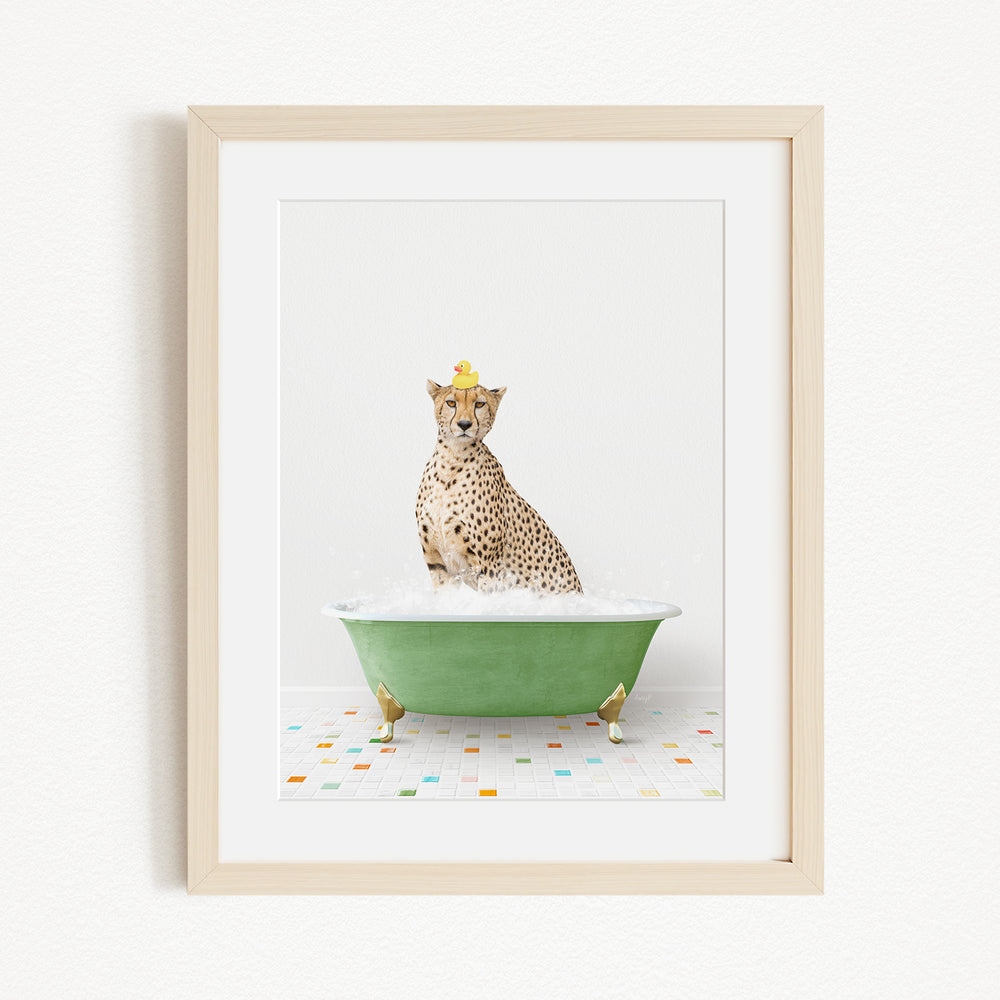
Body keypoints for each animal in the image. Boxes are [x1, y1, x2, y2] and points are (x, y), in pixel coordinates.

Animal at [415, 379, 583, 594]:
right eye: (451, 403)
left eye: (479, 404)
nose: (464, 424)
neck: (452, 460)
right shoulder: (437, 562)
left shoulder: (489, 567)